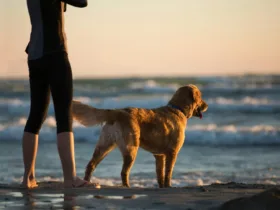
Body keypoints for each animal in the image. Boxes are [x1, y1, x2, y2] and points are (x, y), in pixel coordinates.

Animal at [71, 84, 208, 188]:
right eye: (200, 97)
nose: (206, 105)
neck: (178, 109)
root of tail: (118, 111)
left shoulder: (159, 155)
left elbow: (160, 173)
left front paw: (162, 187)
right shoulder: (172, 152)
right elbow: (168, 173)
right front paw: (168, 186)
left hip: (104, 146)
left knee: (91, 165)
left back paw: (87, 182)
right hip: (131, 148)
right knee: (124, 172)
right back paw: (127, 187)